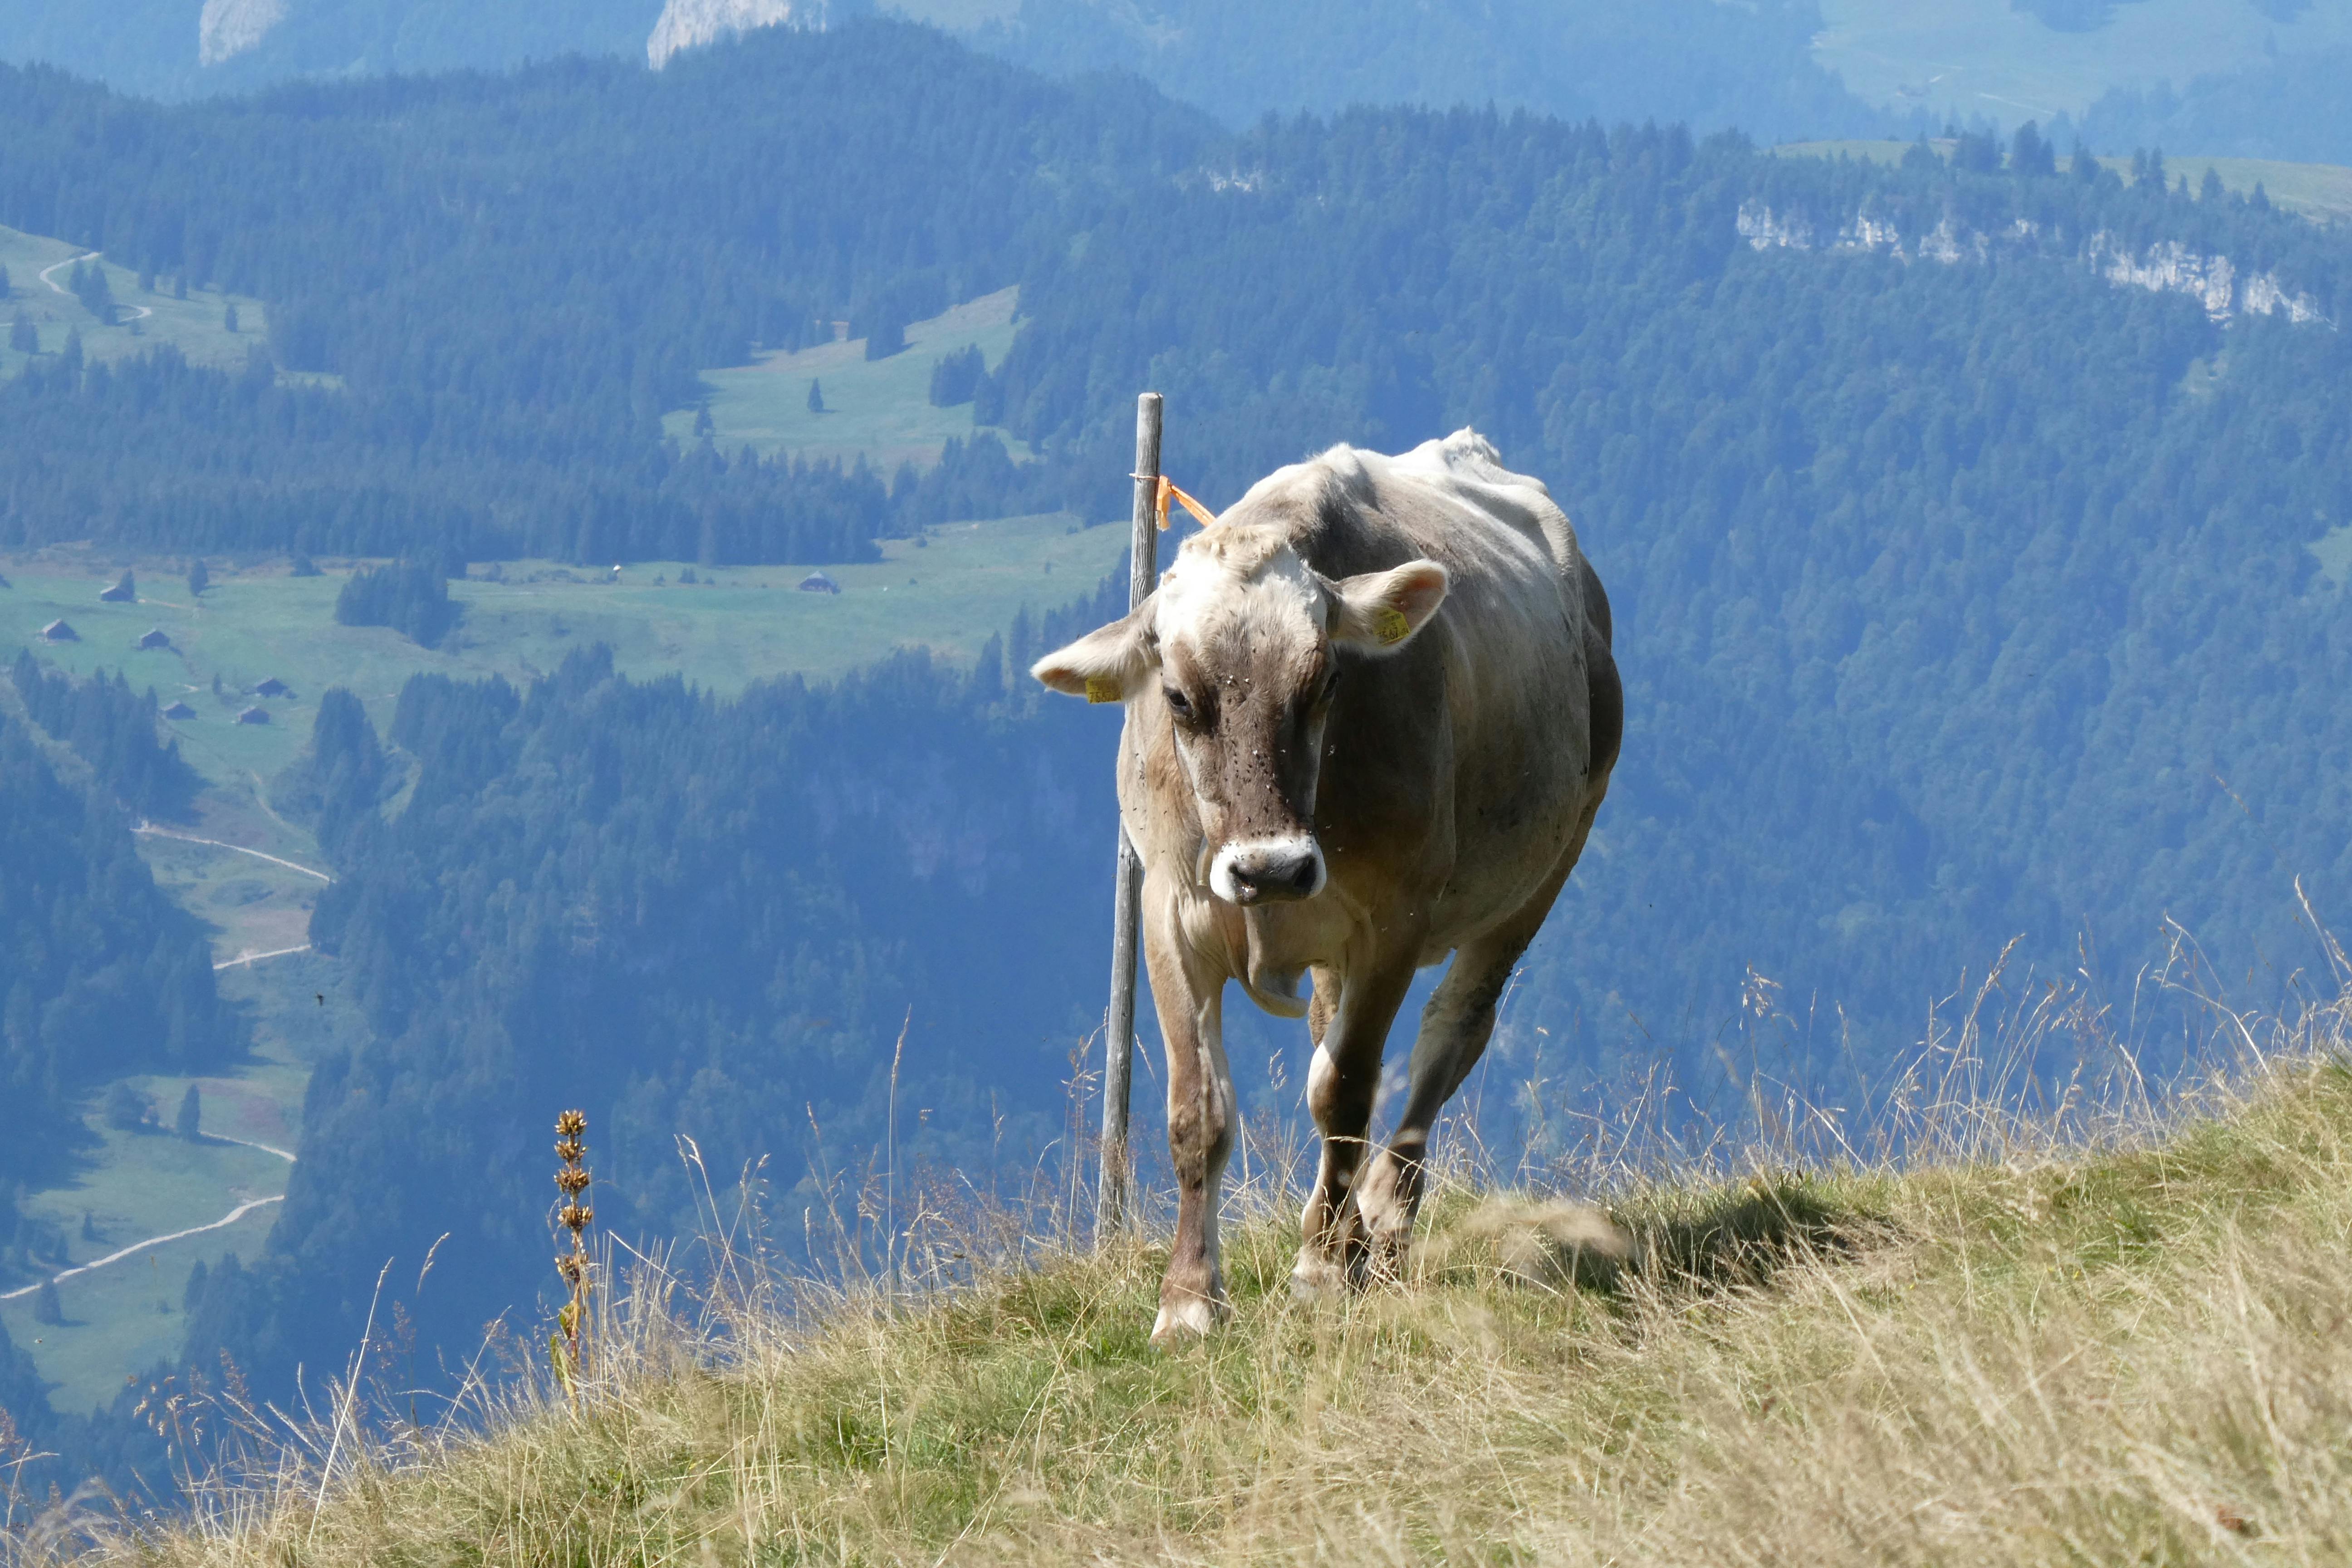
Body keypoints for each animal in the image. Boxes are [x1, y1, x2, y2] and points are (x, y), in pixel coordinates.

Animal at [1032, 429, 1621, 1343]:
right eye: (1178, 698)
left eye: (1326, 684)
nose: (1270, 868)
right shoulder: (1169, 912)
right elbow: (1198, 1111)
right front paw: (1189, 1301)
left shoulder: (1393, 920)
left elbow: (1344, 1092)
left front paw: (1318, 1269)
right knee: (1330, 1037)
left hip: (1546, 867)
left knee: (1448, 1034)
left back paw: (1377, 1220)